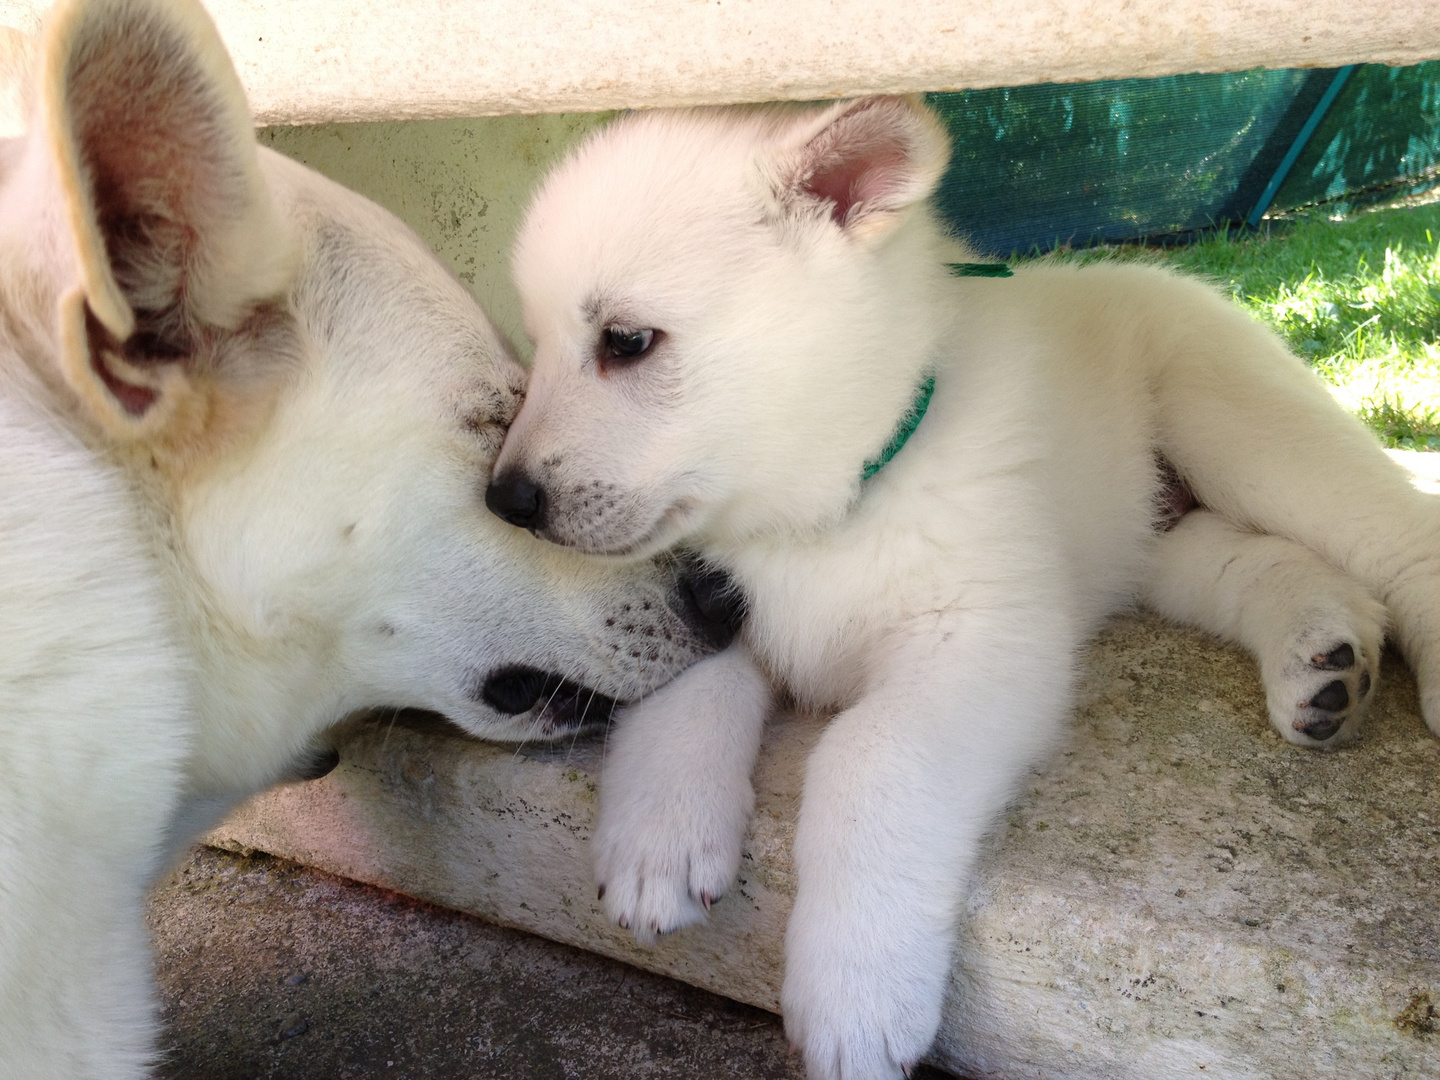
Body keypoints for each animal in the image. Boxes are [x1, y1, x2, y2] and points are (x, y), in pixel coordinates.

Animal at [489, 97, 1440, 1077]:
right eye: (536, 345)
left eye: (628, 342)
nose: (505, 499)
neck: (828, 508)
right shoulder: (713, 603)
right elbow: (687, 688)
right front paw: (661, 835)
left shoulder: (986, 639)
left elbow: (869, 757)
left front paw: (857, 993)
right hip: (1161, 543)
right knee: (1269, 562)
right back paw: (1323, 660)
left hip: (1242, 427)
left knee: (1397, 537)